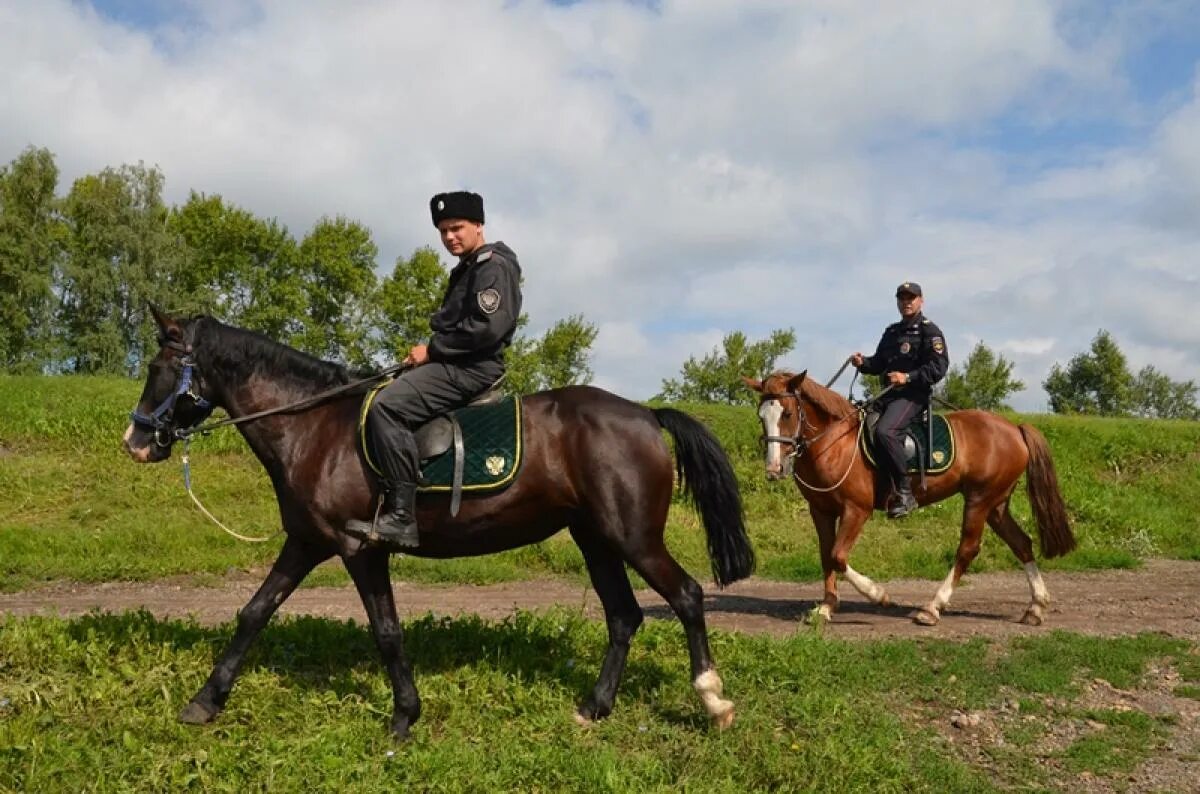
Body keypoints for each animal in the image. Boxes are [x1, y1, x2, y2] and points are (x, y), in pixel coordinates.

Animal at [124, 309, 758, 738]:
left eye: (158, 367)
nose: (135, 441)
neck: (315, 427)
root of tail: (646, 414)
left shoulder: (360, 549)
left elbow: (386, 631)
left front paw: (404, 717)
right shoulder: (306, 542)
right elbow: (254, 612)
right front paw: (205, 701)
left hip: (633, 537)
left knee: (687, 596)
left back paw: (714, 702)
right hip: (595, 539)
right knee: (624, 616)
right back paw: (594, 707)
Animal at [744, 371, 1075, 628]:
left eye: (787, 414)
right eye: (761, 417)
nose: (774, 469)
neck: (833, 443)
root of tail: (1015, 429)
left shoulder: (856, 510)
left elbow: (838, 556)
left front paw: (878, 594)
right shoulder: (821, 511)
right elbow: (827, 555)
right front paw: (826, 607)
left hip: (979, 500)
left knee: (967, 550)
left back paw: (932, 608)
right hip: (996, 504)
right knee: (1021, 543)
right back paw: (1036, 607)